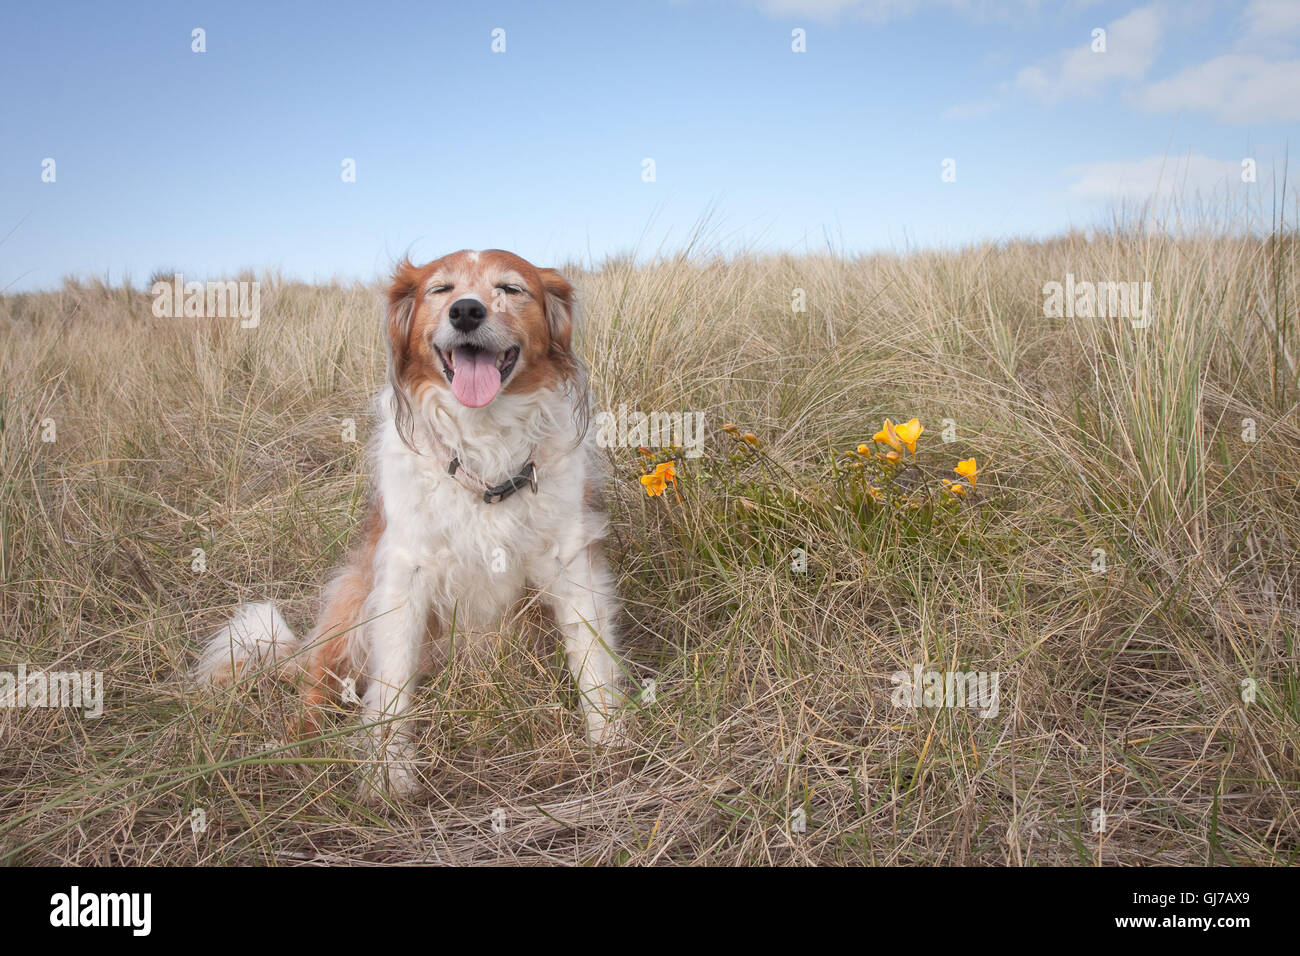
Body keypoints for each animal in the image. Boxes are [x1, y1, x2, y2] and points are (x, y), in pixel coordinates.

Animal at [191, 248, 629, 801]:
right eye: (441, 290)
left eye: (510, 288)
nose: (466, 312)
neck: (484, 445)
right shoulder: (405, 574)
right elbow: (393, 683)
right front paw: (388, 775)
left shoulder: (571, 562)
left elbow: (592, 658)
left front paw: (609, 742)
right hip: (351, 603)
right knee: (316, 686)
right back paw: (302, 747)